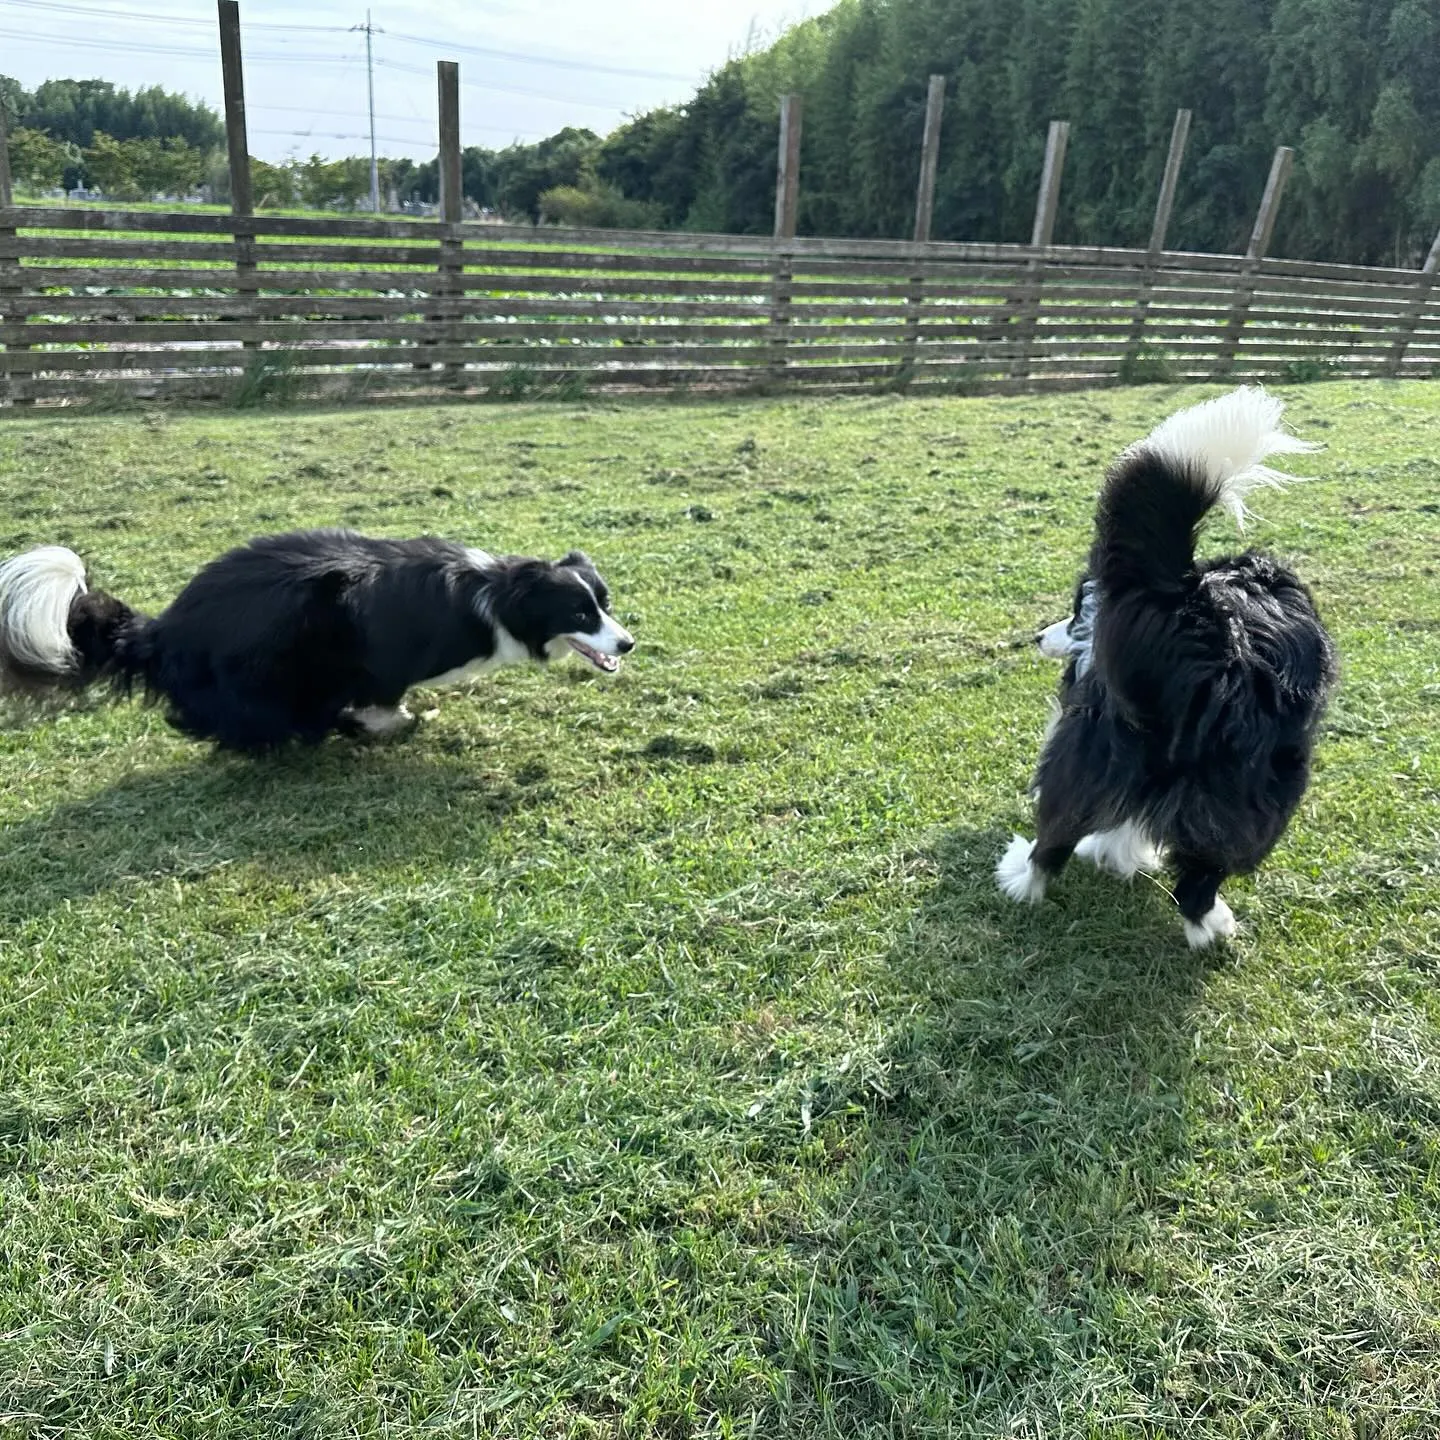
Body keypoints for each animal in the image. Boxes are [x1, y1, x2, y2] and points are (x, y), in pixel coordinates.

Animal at [0, 529, 630, 754]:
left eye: (605, 601)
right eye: (581, 611)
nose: (627, 644)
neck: (500, 594)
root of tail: (168, 626)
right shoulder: (381, 662)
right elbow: (383, 701)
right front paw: (391, 723)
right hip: (285, 660)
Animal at [990, 385, 1336, 944]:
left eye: (1075, 612)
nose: (1038, 637)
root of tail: (1203, 622)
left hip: (1088, 748)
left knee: (1058, 829)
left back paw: (1022, 877)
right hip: (1256, 792)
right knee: (1202, 875)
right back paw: (1209, 927)